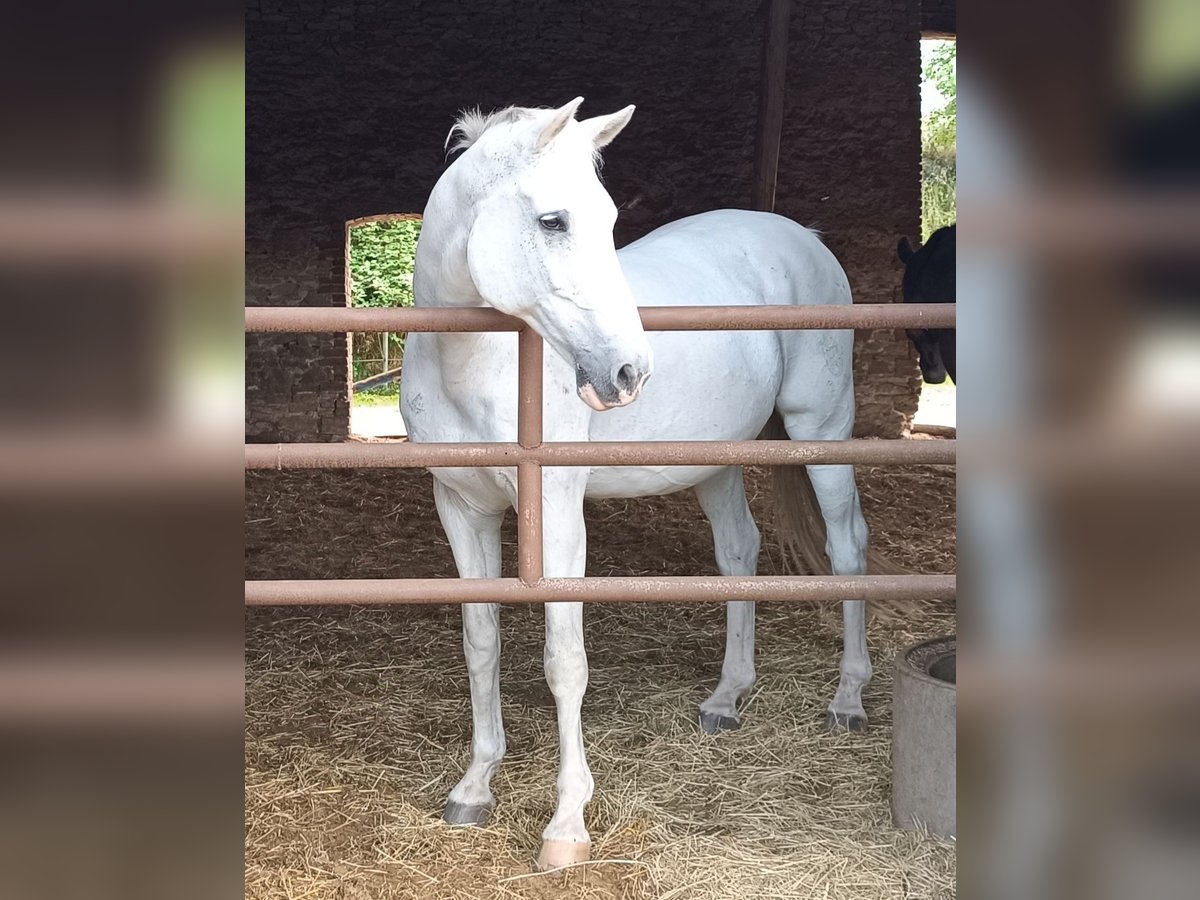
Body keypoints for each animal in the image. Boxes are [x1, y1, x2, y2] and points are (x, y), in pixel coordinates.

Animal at [403, 100, 873, 873]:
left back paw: (849, 699)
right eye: (553, 220)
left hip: (823, 428)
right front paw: (474, 787)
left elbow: (565, 662)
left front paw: (567, 826)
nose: (628, 371)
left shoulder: (558, 515)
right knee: (739, 553)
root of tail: (801, 237)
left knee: (847, 550)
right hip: (715, 461)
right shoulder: (463, 509)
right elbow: (481, 645)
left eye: (609, 216)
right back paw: (726, 698)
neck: (475, 363)